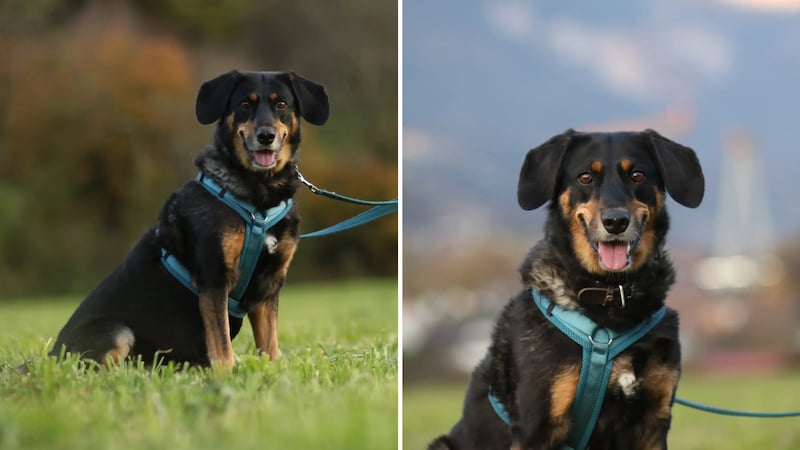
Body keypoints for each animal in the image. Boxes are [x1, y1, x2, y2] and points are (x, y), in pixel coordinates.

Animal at [428, 129, 704, 450]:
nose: (615, 221)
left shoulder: (653, 421)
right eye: (585, 177)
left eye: (638, 175)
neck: (611, 295)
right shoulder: (537, 426)